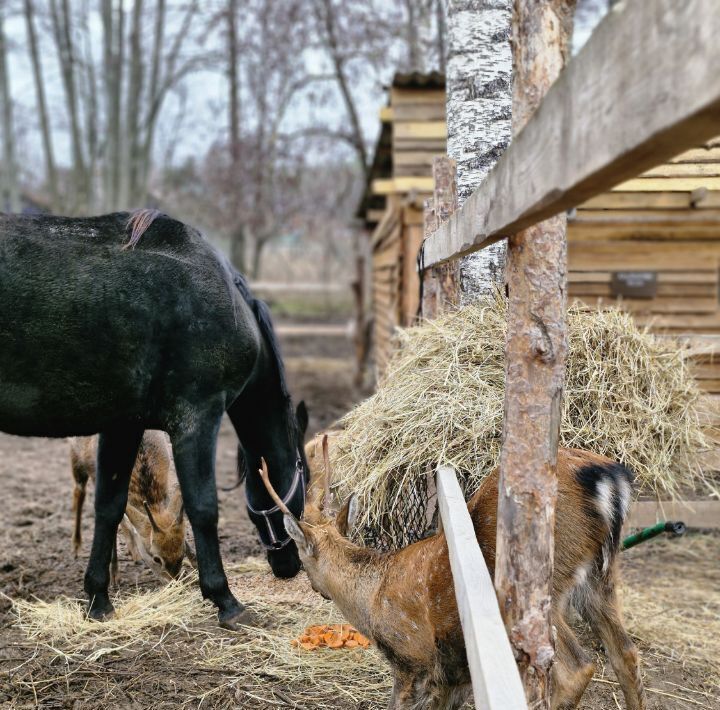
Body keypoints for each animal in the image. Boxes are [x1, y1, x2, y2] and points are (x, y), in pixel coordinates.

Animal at [69, 432, 194, 588]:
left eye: (181, 552)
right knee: (79, 491)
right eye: (156, 558)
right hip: (76, 457)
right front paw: (114, 577)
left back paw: (134, 553)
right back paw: (76, 546)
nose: (173, 582)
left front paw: (196, 563)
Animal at [266, 440, 648, 710]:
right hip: (600, 578)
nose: (314, 587)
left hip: (544, 586)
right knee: (625, 653)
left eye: (302, 558)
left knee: (576, 668)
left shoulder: (413, 654)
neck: (372, 595)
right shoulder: (453, 673)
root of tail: (610, 480)